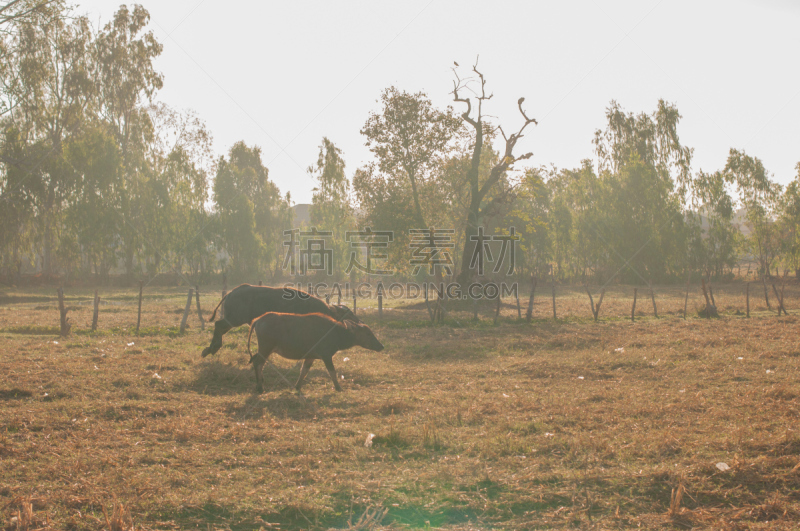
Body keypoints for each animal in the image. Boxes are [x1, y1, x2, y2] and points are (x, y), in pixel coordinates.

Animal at [203, 284, 356, 360]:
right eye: (349, 316)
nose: (357, 324)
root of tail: (231, 293)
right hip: (234, 319)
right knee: (218, 325)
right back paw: (212, 348)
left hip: (233, 320)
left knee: (220, 328)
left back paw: (210, 349)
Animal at [247, 312, 384, 394]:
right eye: (368, 333)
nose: (381, 346)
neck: (336, 333)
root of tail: (258, 320)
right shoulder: (326, 356)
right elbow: (332, 372)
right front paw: (339, 388)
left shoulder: (310, 357)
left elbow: (303, 371)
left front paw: (297, 387)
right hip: (266, 348)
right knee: (258, 363)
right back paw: (260, 387)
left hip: (264, 349)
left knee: (256, 360)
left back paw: (261, 382)